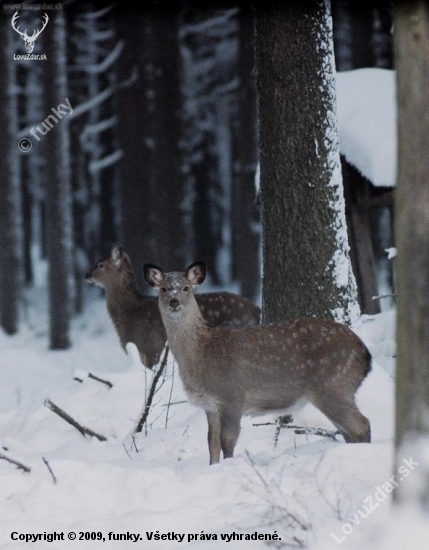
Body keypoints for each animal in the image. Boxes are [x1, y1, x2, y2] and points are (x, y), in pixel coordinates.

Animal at [145, 262, 372, 466]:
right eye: (163, 288)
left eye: (186, 288)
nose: (174, 302)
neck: (201, 352)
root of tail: (364, 353)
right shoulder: (210, 406)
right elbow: (211, 443)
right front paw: (213, 467)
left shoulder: (232, 396)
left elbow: (227, 441)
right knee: (350, 431)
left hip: (333, 385)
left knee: (362, 425)